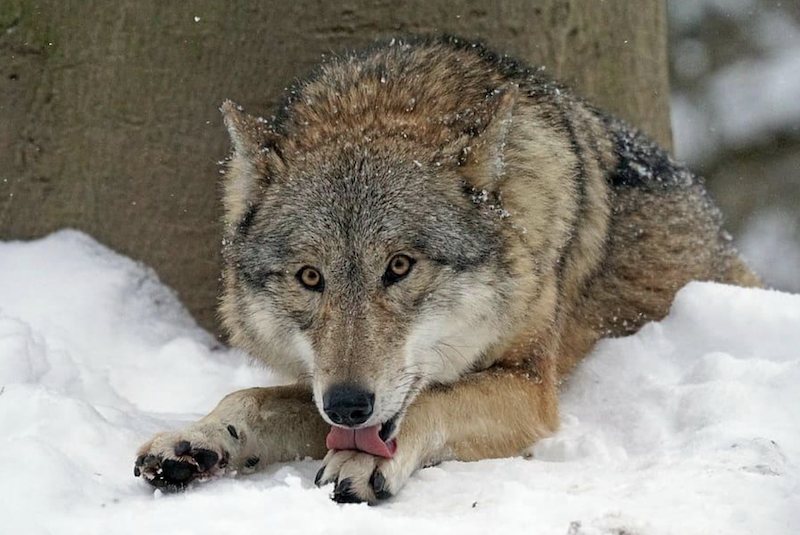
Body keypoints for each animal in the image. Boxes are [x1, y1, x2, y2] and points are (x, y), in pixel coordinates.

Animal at [134, 36, 760, 503]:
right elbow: (249, 398)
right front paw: (195, 440)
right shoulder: (320, 387)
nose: (347, 405)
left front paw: (356, 460)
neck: (382, 103)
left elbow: (433, 401)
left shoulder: (532, 387)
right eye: (310, 277)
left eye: (399, 266)